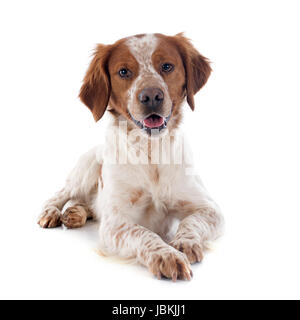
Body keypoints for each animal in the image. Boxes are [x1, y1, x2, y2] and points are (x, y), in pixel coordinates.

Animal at [38, 33, 223, 282]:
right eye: (124, 71)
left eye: (167, 66)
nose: (151, 95)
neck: (151, 153)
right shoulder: (116, 223)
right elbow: (143, 234)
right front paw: (166, 255)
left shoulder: (209, 208)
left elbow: (191, 222)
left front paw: (185, 242)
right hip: (85, 170)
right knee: (59, 195)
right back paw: (51, 213)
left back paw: (75, 213)